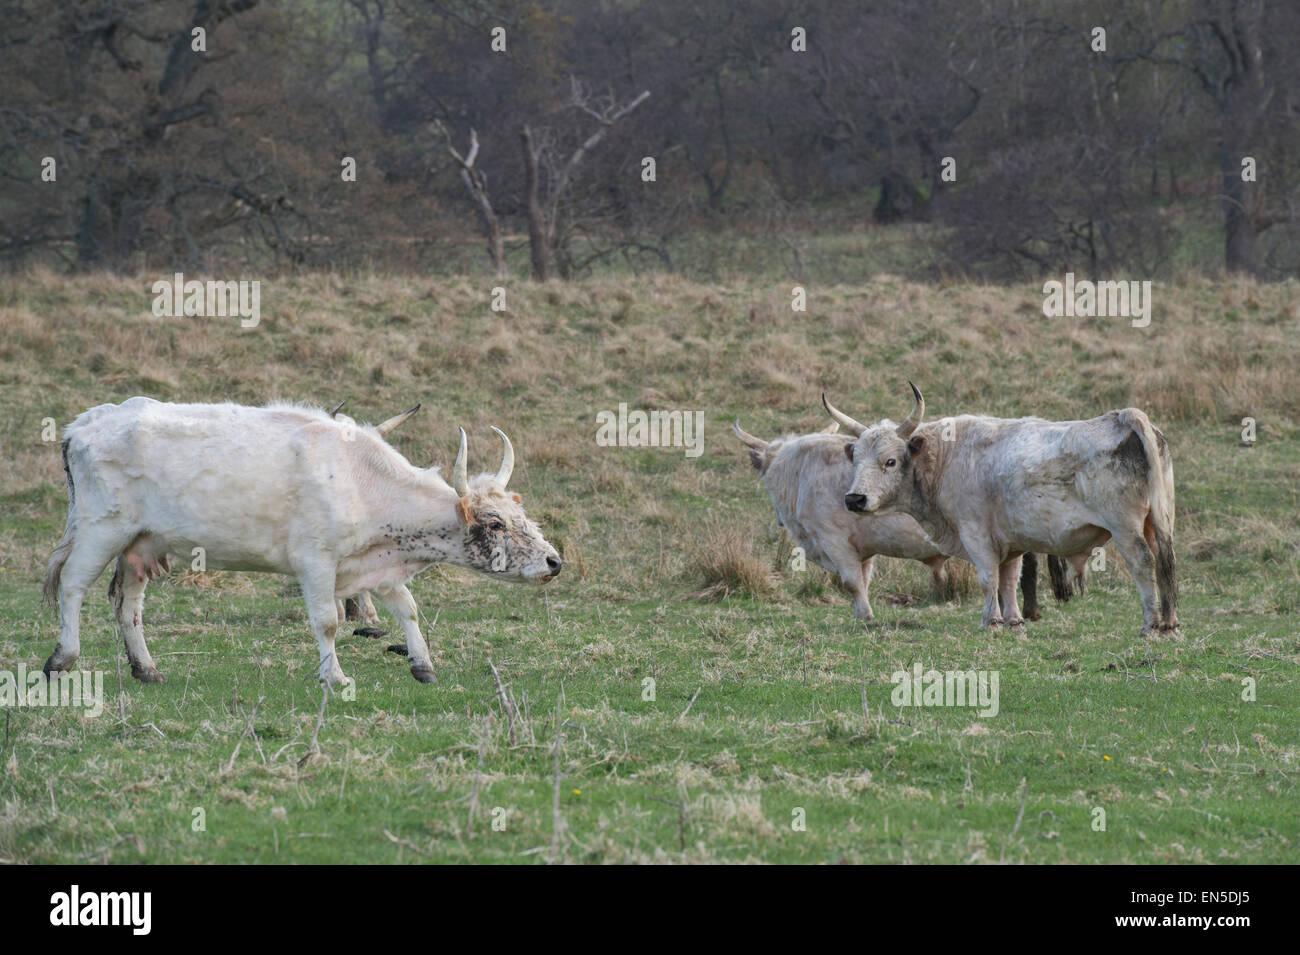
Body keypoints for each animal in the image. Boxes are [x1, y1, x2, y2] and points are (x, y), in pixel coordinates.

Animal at [39, 397, 559, 686]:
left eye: (520, 511)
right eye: (495, 523)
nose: (554, 562)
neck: (361, 480)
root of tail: (86, 423)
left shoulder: (376, 564)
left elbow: (408, 609)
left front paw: (422, 663)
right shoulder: (316, 562)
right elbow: (328, 622)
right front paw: (335, 676)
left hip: (140, 546)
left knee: (127, 605)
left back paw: (146, 669)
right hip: (101, 529)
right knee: (73, 586)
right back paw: (63, 658)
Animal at [738, 418, 1050, 621]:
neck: (801, 471)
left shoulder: (834, 539)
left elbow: (851, 582)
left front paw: (866, 617)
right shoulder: (862, 549)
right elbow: (862, 580)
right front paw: (859, 615)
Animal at [832, 384, 1180, 639]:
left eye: (890, 461)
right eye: (856, 459)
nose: (854, 499)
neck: (946, 457)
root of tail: (1120, 417)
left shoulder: (976, 535)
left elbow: (989, 578)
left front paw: (991, 621)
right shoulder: (1011, 543)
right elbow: (1010, 579)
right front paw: (1013, 620)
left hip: (1125, 529)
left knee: (1144, 563)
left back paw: (1150, 624)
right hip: (1158, 523)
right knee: (1165, 563)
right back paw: (1170, 623)